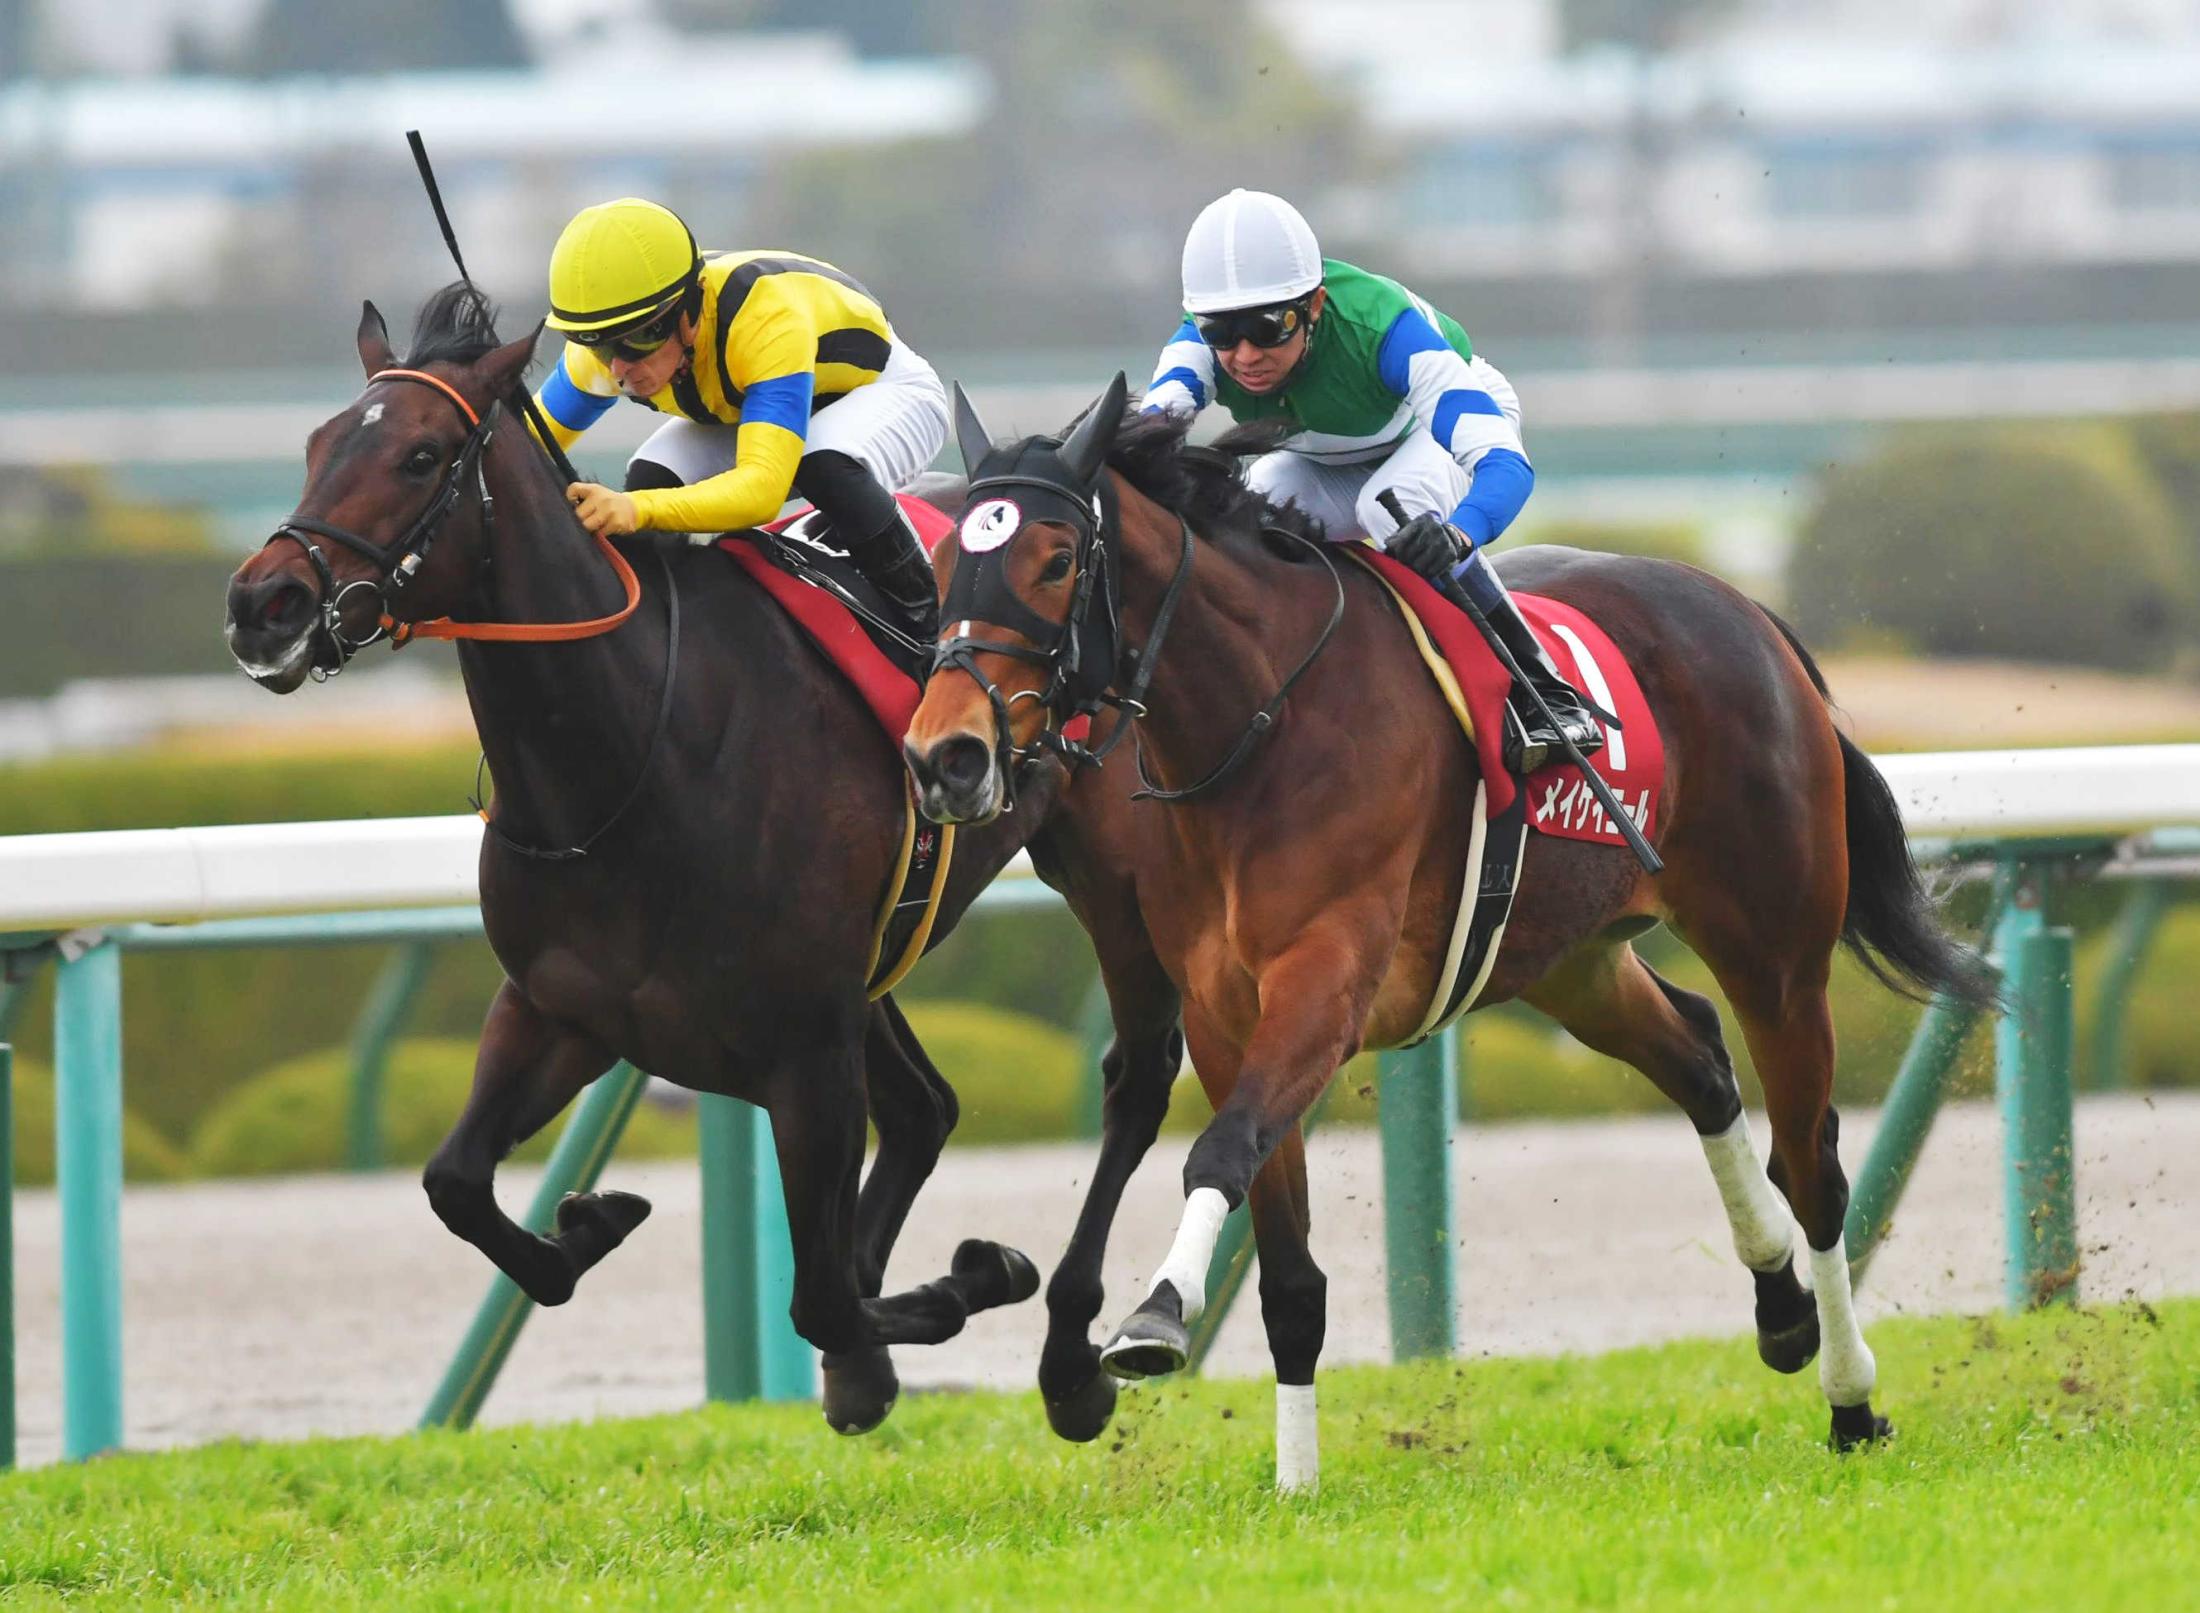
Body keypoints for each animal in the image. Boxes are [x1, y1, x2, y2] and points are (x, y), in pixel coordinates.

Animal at [221, 283, 1064, 1425]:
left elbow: (821, 1297)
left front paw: (951, 1292)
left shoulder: (806, 1043)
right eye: (316, 443)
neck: (642, 751)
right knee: (924, 1110)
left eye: (422, 456)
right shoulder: (564, 1007)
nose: (262, 604)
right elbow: (455, 1181)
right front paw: (592, 1220)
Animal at [902, 378, 2006, 1487]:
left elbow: (1217, 1150)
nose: (945, 753)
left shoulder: (1327, 981)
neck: (1260, 725)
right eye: (945, 565)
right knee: (1699, 1056)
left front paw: (1154, 1318)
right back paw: (1780, 1306)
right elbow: (1284, 1264)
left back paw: (1851, 1399)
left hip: (1774, 951)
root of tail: (1749, 612)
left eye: (1054, 559)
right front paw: (1293, 1484)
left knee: (1813, 1163)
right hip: (1569, 957)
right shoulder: (1224, 1010)